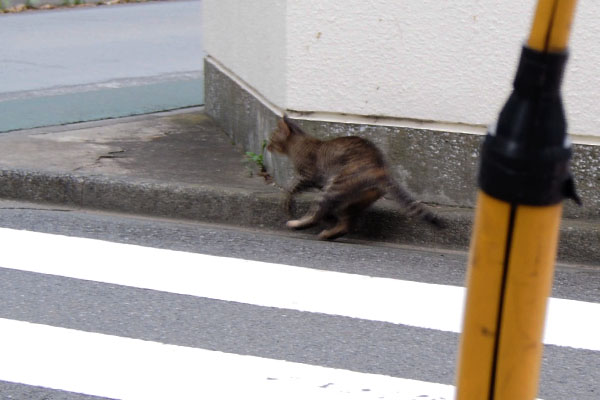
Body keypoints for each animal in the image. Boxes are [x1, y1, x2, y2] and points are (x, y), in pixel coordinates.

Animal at [264, 115, 442, 241]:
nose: (267, 145)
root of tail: (380, 168)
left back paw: (298, 224)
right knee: (346, 225)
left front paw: (286, 203)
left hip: (334, 188)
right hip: (348, 200)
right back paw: (328, 234)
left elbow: (290, 188)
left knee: (317, 215)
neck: (298, 143)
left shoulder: (308, 175)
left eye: (272, 138)